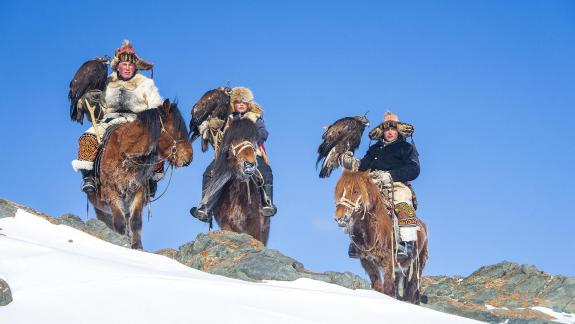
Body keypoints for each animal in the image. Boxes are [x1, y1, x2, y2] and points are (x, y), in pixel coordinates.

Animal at [86, 100, 192, 249]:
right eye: (177, 129)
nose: (189, 158)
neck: (125, 153)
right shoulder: (112, 190)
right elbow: (119, 223)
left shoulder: (138, 190)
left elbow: (135, 222)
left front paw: (137, 247)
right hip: (100, 208)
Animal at [332, 170, 428, 304]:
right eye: (340, 191)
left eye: (356, 191)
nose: (339, 217)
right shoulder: (367, 261)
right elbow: (378, 287)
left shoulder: (388, 261)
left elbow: (388, 290)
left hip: (416, 266)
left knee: (411, 289)